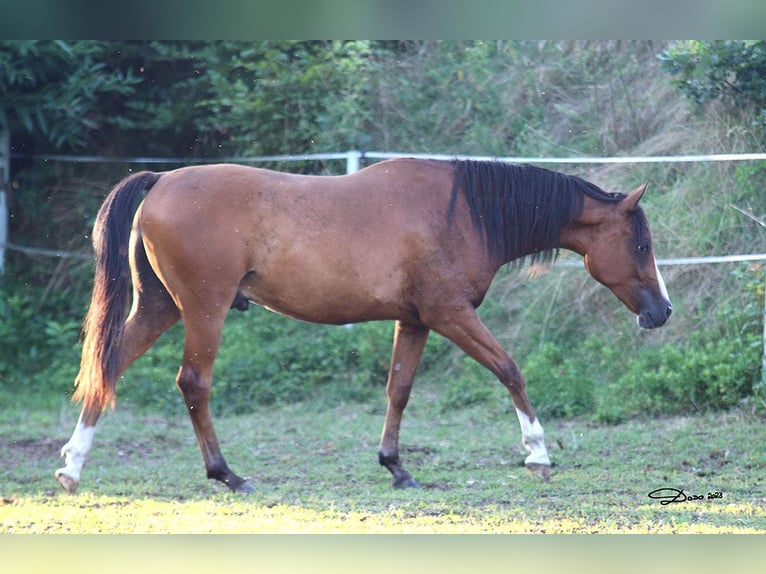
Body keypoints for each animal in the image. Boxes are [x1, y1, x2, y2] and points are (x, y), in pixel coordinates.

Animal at [55, 159, 672, 496]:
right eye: (640, 244)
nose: (662, 312)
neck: (463, 211)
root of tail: (161, 181)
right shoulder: (452, 315)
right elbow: (510, 370)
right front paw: (538, 454)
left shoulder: (416, 321)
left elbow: (399, 389)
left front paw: (395, 467)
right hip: (204, 310)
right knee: (193, 384)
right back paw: (227, 474)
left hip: (161, 308)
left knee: (108, 368)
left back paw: (72, 466)